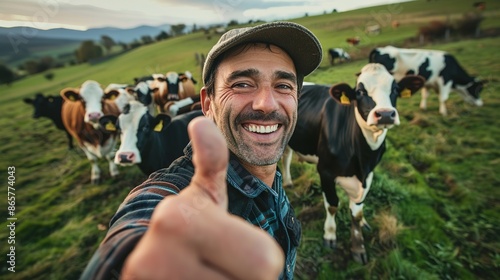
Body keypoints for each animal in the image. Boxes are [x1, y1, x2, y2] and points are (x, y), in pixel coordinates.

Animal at [284, 63, 424, 264]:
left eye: (395, 89)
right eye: (360, 91)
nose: (385, 114)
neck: (362, 158)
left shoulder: (370, 173)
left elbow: (357, 213)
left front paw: (359, 244)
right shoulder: (325, 171)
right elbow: (332, 205)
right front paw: (330, 235)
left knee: (286, 155)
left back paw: (287, 181)